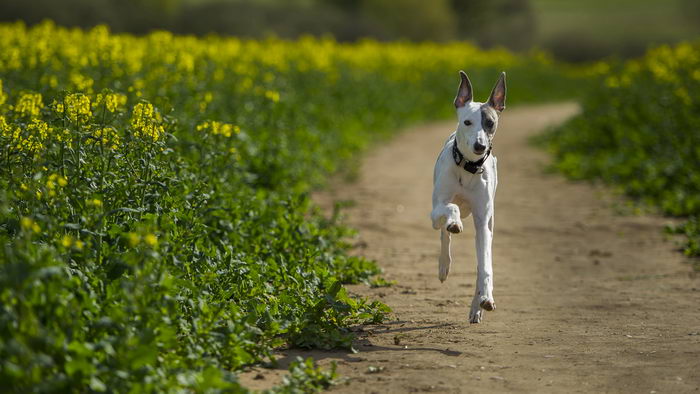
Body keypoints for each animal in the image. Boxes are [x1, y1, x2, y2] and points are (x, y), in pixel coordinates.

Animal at [430, 71, 506, 324]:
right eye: (467, 122)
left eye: (490, 123)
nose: (480, 146)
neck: (468, 168)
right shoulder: (436, 208)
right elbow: (449, 210)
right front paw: (454, 223)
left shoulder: (483, 222)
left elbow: (485, 266)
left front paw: (486, 298)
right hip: (437, 216)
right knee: (443, 232)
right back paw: (444, 264)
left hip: (489, 221)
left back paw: (478, 305)